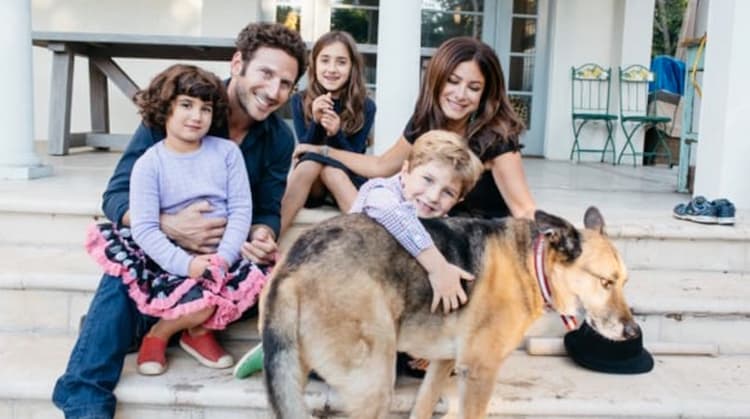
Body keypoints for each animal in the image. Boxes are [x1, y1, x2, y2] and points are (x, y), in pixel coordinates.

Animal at [262, 208, 636, 418]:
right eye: (605, 282)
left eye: (624, 282)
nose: (632, 333)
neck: (533, 264)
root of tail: (293, 267)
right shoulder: (479, 373)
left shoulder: (443, 363)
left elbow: (423, 406)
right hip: (375, 384)